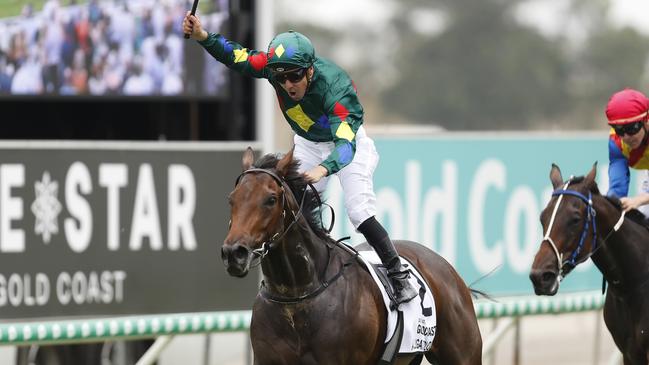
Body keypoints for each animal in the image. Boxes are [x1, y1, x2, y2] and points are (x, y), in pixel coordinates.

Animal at [223, 148, 480, 364]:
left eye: (271, 199)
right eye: (231, 199)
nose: (234, 253)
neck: (297, 295)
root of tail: (445, 267)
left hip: (463, 355)